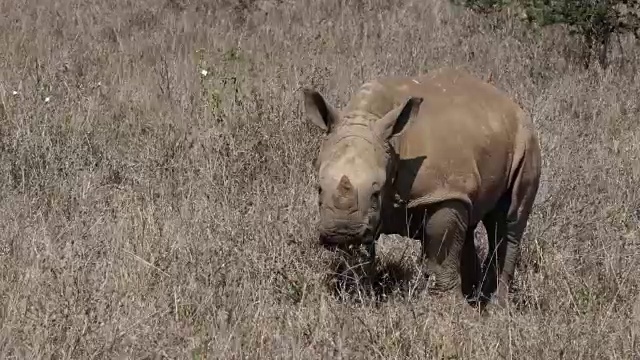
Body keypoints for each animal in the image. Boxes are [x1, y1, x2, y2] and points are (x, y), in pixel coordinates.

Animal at [304, 67, 540, 306]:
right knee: (469, 218)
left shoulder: (440, 192)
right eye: (319, 189)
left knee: (508, 221)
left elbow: (441, 249)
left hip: (526, 141)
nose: (341, 231)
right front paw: (354, 298)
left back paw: (494, 307)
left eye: (376, 192)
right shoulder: (364, 219)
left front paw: (448, 309)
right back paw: (474, 296)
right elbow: (358, 255)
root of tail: (512, 105)